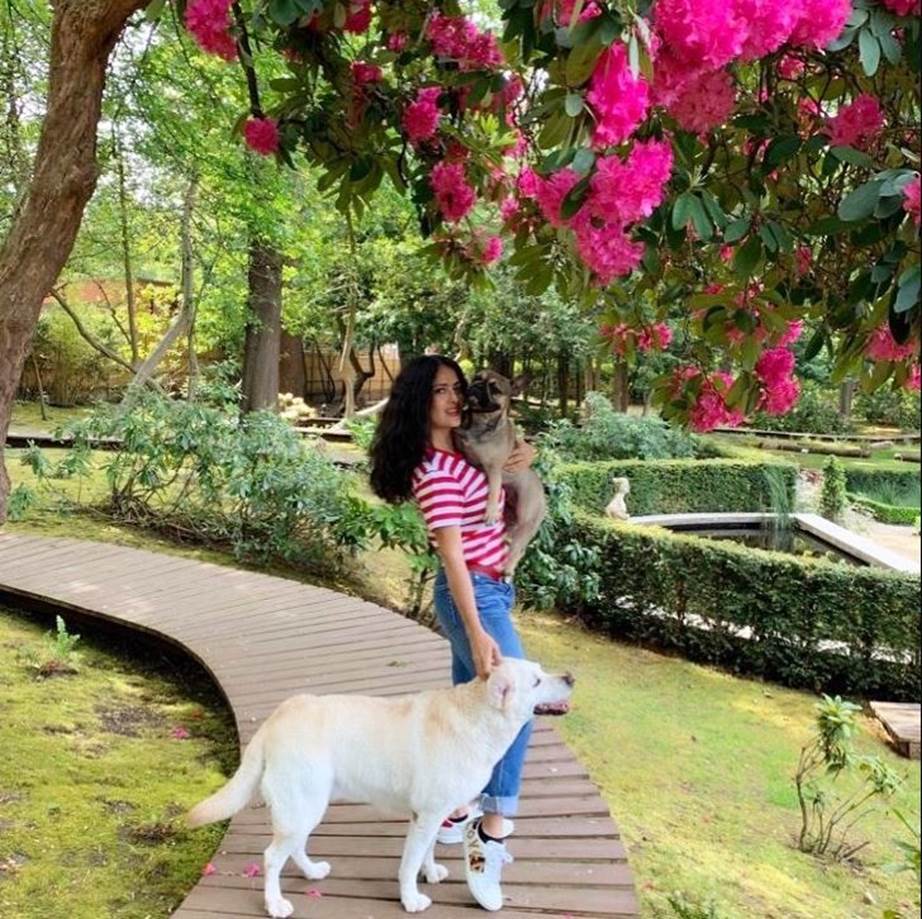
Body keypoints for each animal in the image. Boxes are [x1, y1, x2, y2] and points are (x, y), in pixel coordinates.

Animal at [186, 656, 572, 916]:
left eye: (541, 672)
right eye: (536, 681)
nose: (570, 676)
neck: (478, 716)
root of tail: (275, 719)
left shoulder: (432, 815)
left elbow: (427, 852)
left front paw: (431, 872)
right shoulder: (427, 816)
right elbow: (409, 864)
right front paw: (411, 899)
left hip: (308, 807)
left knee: (293, 849)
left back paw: (311, 872)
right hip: (303, 806)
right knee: (271, 857)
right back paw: (275, 903)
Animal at [454, 372, 548, 576]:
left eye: (495, 389)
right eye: (477, 377)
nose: (477, 385)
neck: (481, 422)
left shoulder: (494, 469)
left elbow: (494, 490)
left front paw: (489, 512)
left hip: (526, 520)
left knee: (519, 549)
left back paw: (508, 570)